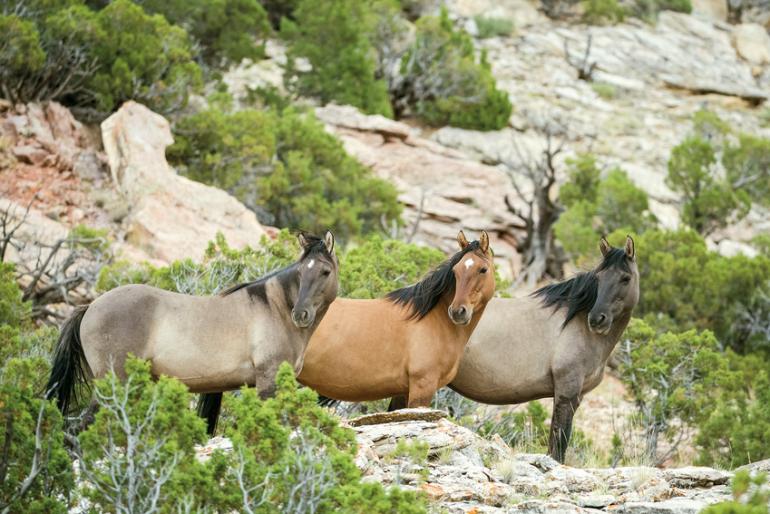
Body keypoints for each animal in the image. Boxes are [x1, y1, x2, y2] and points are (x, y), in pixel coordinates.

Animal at [46, 231, 339, 433]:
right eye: (301, 272)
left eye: (325, 271)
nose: (300, 314)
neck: (273, 307)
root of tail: (91, 306)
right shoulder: (268, 381)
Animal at [447, 236, 639, 464]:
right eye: (599, 278)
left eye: (625, 278)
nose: (596, 319)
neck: (574, 322)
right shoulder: (567, 394)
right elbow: (559, 447)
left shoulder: (570, 397)